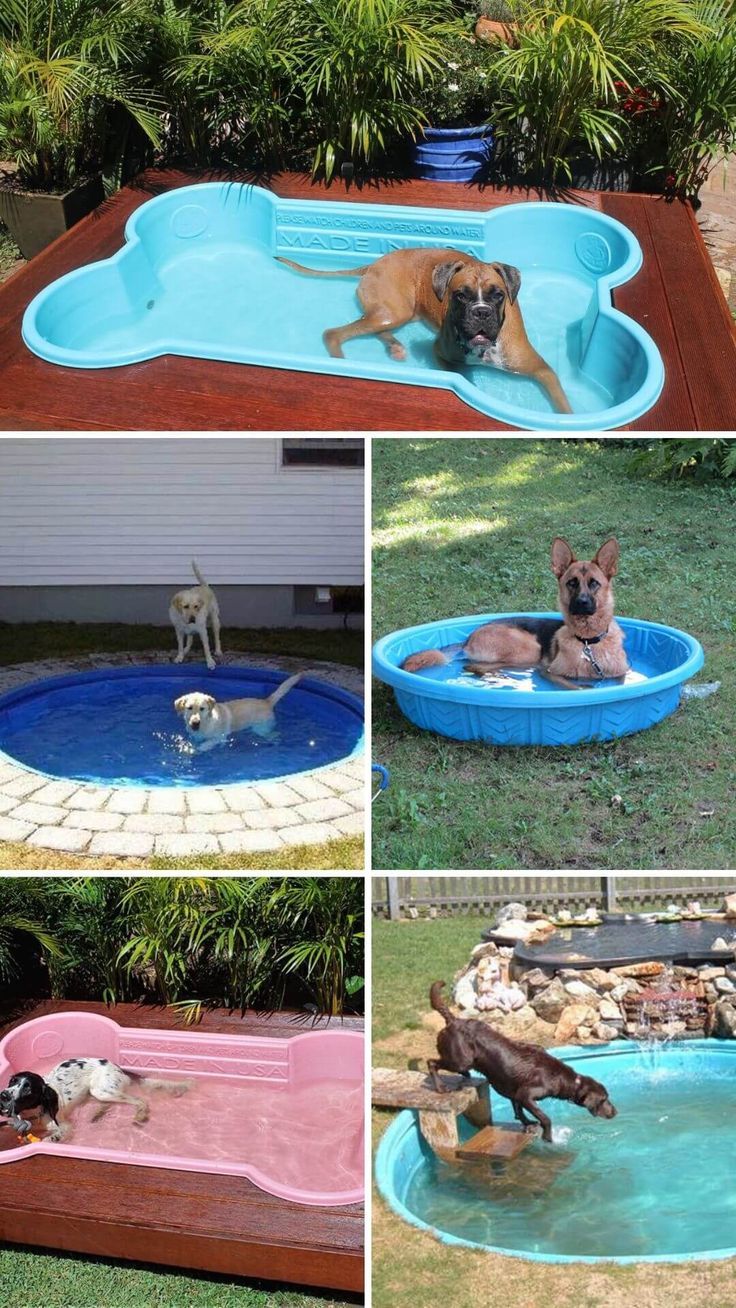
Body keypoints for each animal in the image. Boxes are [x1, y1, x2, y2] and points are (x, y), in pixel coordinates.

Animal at [0, 1056, 193, 1140]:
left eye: (28, 1089)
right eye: (12, 1081)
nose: (4, 1095)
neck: (32, 1115)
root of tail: (118, 1067)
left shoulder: (66, 1126)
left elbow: (56, 1136)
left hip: (101, 1090)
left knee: (140, 1100)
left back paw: (140, 1116)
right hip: (95, 1093)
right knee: (108, 1104)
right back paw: (97, 1114)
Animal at [173, 674, 303, 748]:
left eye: (202, 709)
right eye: (189, 708)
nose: (195, 723)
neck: (206, 723)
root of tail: (266, 701)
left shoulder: (219, 738)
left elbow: (204, 746)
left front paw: (195, 750)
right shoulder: (195, 736)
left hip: (260, 729)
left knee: (275, 734)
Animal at [400, 533, 630, 690]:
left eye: (594, 583)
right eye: (571, 583)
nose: (582, 603)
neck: (588, 643)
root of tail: (468, 638)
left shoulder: (620, 675)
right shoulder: (546, 672)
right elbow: (573, 687)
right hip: (528, 650)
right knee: (475, 666)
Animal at [426, 978, 617, 1140]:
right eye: (604, 1100)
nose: (615, 1112)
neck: (566, 1079)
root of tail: (453, 1020)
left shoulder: (514, 1090)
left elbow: (518, 1110)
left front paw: (528, 1124)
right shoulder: (526, 1094)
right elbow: (544, 1117)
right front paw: (548, 1137)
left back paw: (465, 1076)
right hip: (460, 1060)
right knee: (431, 1062)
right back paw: (441, 1087)